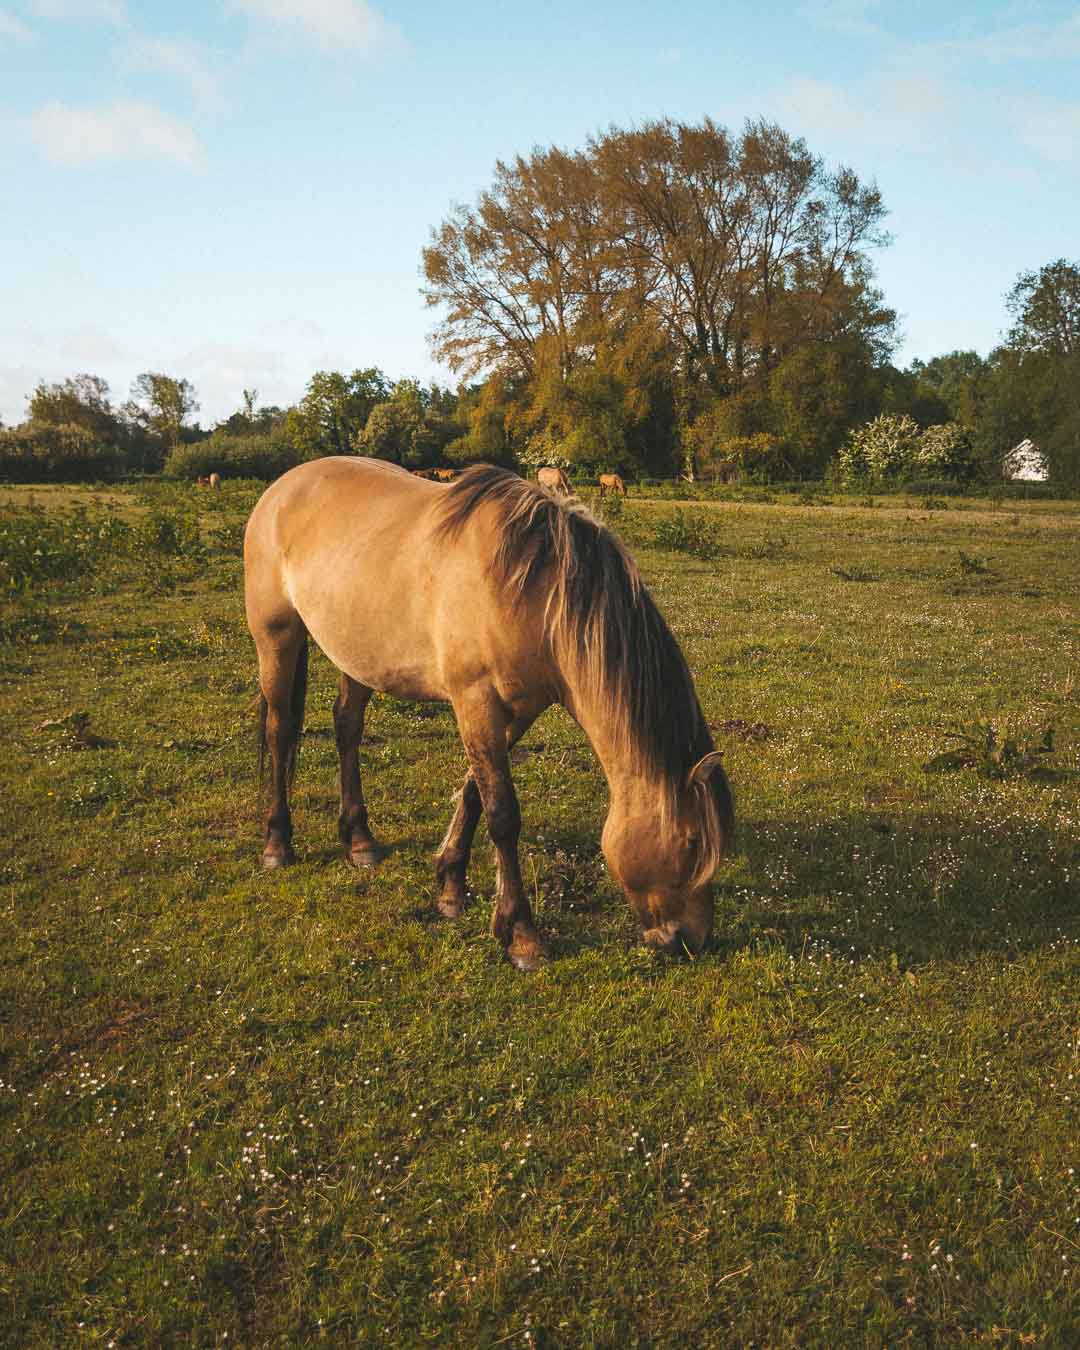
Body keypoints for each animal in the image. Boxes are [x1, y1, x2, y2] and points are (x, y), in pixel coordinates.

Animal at [244, 464, 734, 972]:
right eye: (692, 843)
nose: (694, 939)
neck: (534, 592)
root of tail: (283, 486)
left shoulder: (517, 712)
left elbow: (475, 792)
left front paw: (450, 887)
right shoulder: (475, 701)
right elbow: (502, 814)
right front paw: (521, 935)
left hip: (357, 654)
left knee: (347, 728)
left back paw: (359, 839)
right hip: (276, 638)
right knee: (280, 732)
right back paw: (277, 843)